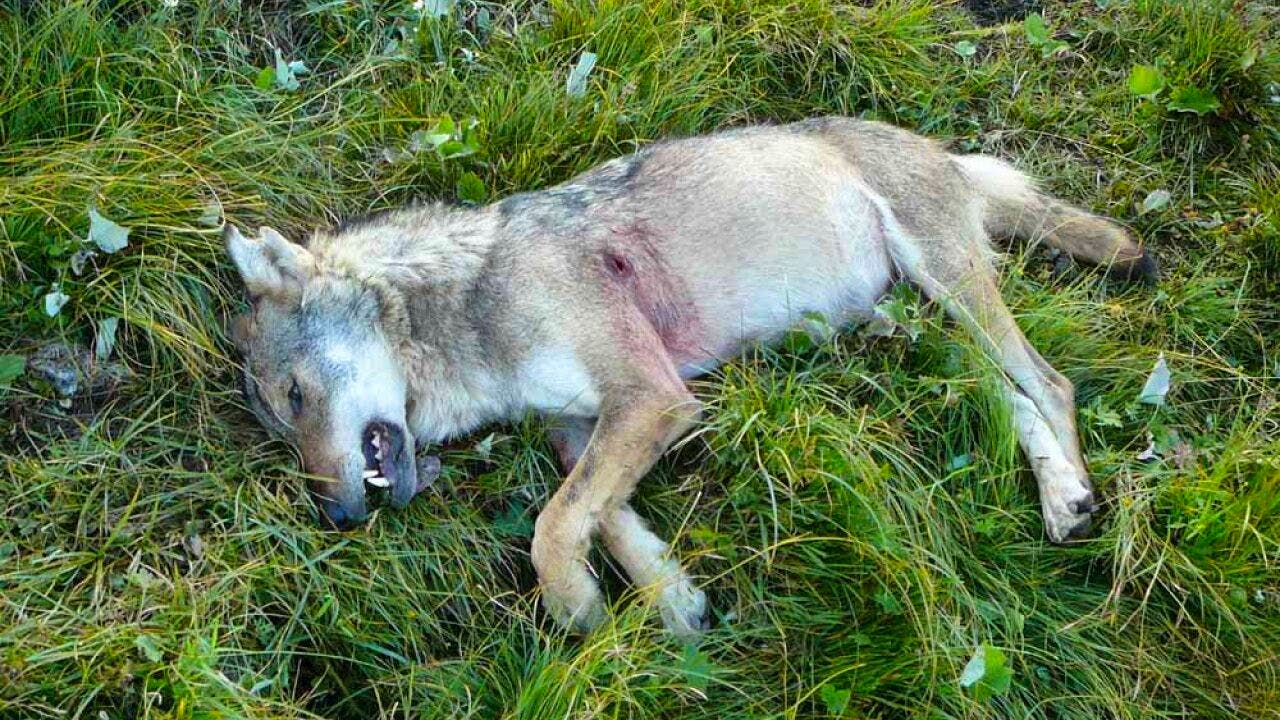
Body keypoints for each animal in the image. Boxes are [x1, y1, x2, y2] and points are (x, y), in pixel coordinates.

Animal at [226, 117, 1154, 636]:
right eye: (282, 426)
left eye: (298, 398)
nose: (337, 517)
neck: (470, 306)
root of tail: (942, 151)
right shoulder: (583, 429)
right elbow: (607, 522)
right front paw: (675, 606)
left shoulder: (652, 397)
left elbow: (552, 527)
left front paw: (573, 606)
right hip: (916, 338)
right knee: (1014, 401)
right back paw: (1061, 497)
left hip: (950, 291)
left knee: (1051, 384)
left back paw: (1080, 504)